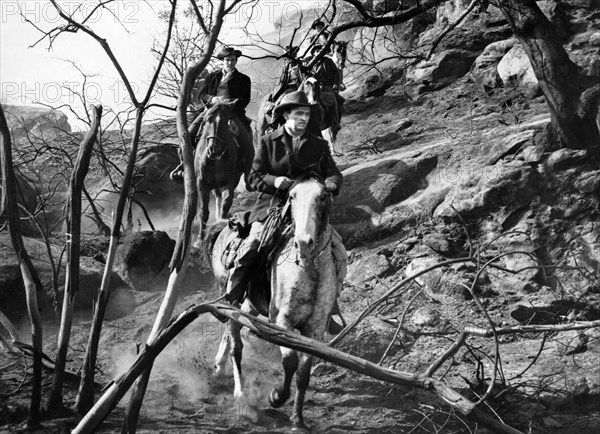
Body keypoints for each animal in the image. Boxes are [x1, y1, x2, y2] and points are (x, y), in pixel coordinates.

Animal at [196, 102, 245, 244]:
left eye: (225, 121)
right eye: (208, 120)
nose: (214, 149)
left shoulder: (227, 183)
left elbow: (225, 204)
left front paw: (220, 227)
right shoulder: (202, 184)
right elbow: (204, 211)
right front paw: (200, 239)